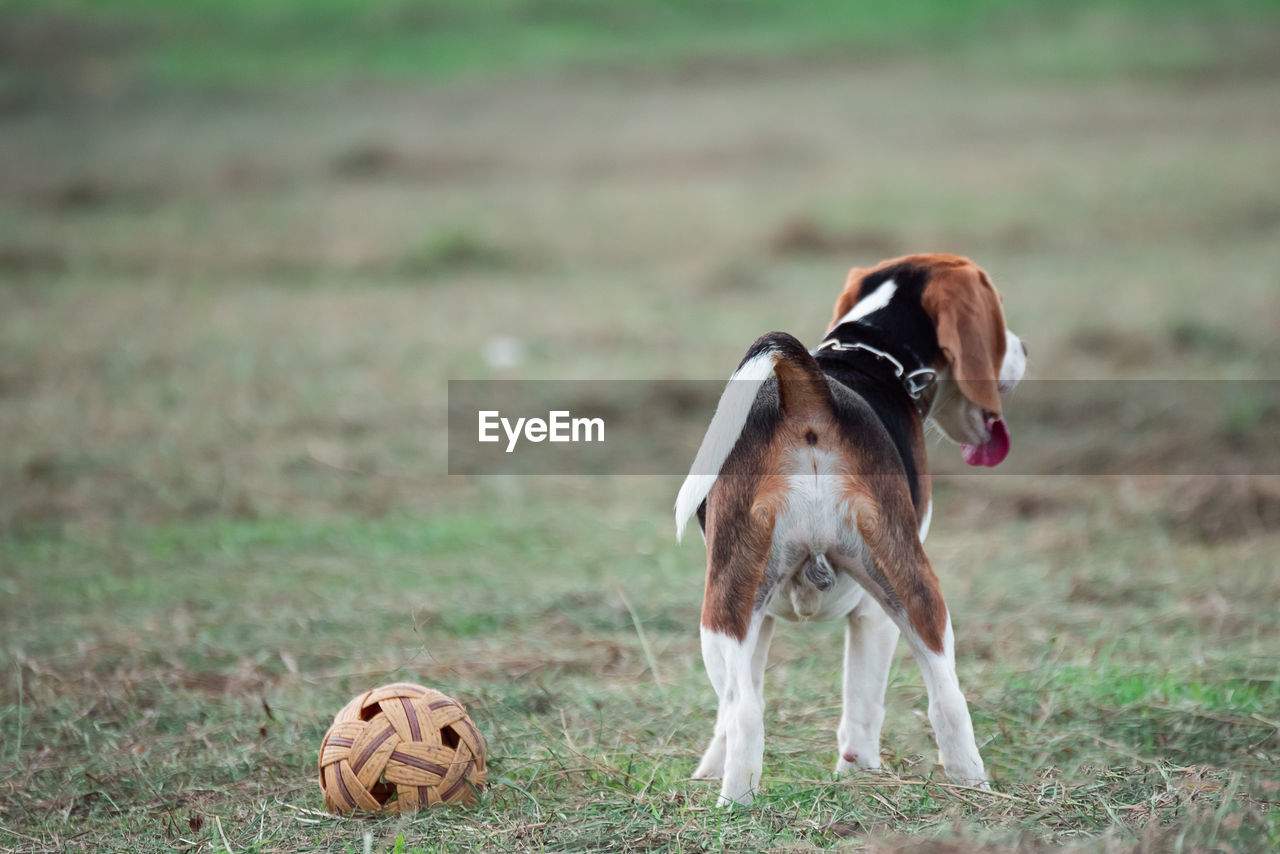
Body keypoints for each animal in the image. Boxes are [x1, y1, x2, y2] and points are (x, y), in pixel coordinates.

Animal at [675, 250, 1024, 804]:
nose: (1024, 350)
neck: (872, 352)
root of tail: (806, 394)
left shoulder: (761, 615)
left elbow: (734, 713)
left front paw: (708, 773)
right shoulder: (871, 614)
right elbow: (863, 698)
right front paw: (859, 773)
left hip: (727, 606)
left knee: (744, 708)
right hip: (904, 584)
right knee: (945, 698)